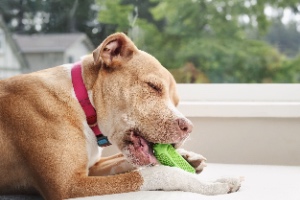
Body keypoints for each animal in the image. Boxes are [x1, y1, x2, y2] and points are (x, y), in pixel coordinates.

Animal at [0, 32, 241, 199]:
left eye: (177, 102)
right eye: (153, 86)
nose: (188, 128)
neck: (83, 102)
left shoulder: (92, 168)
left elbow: (124, 160)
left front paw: (188, 158)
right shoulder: (67, 184)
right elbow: (158, 173)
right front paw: (214, 184)